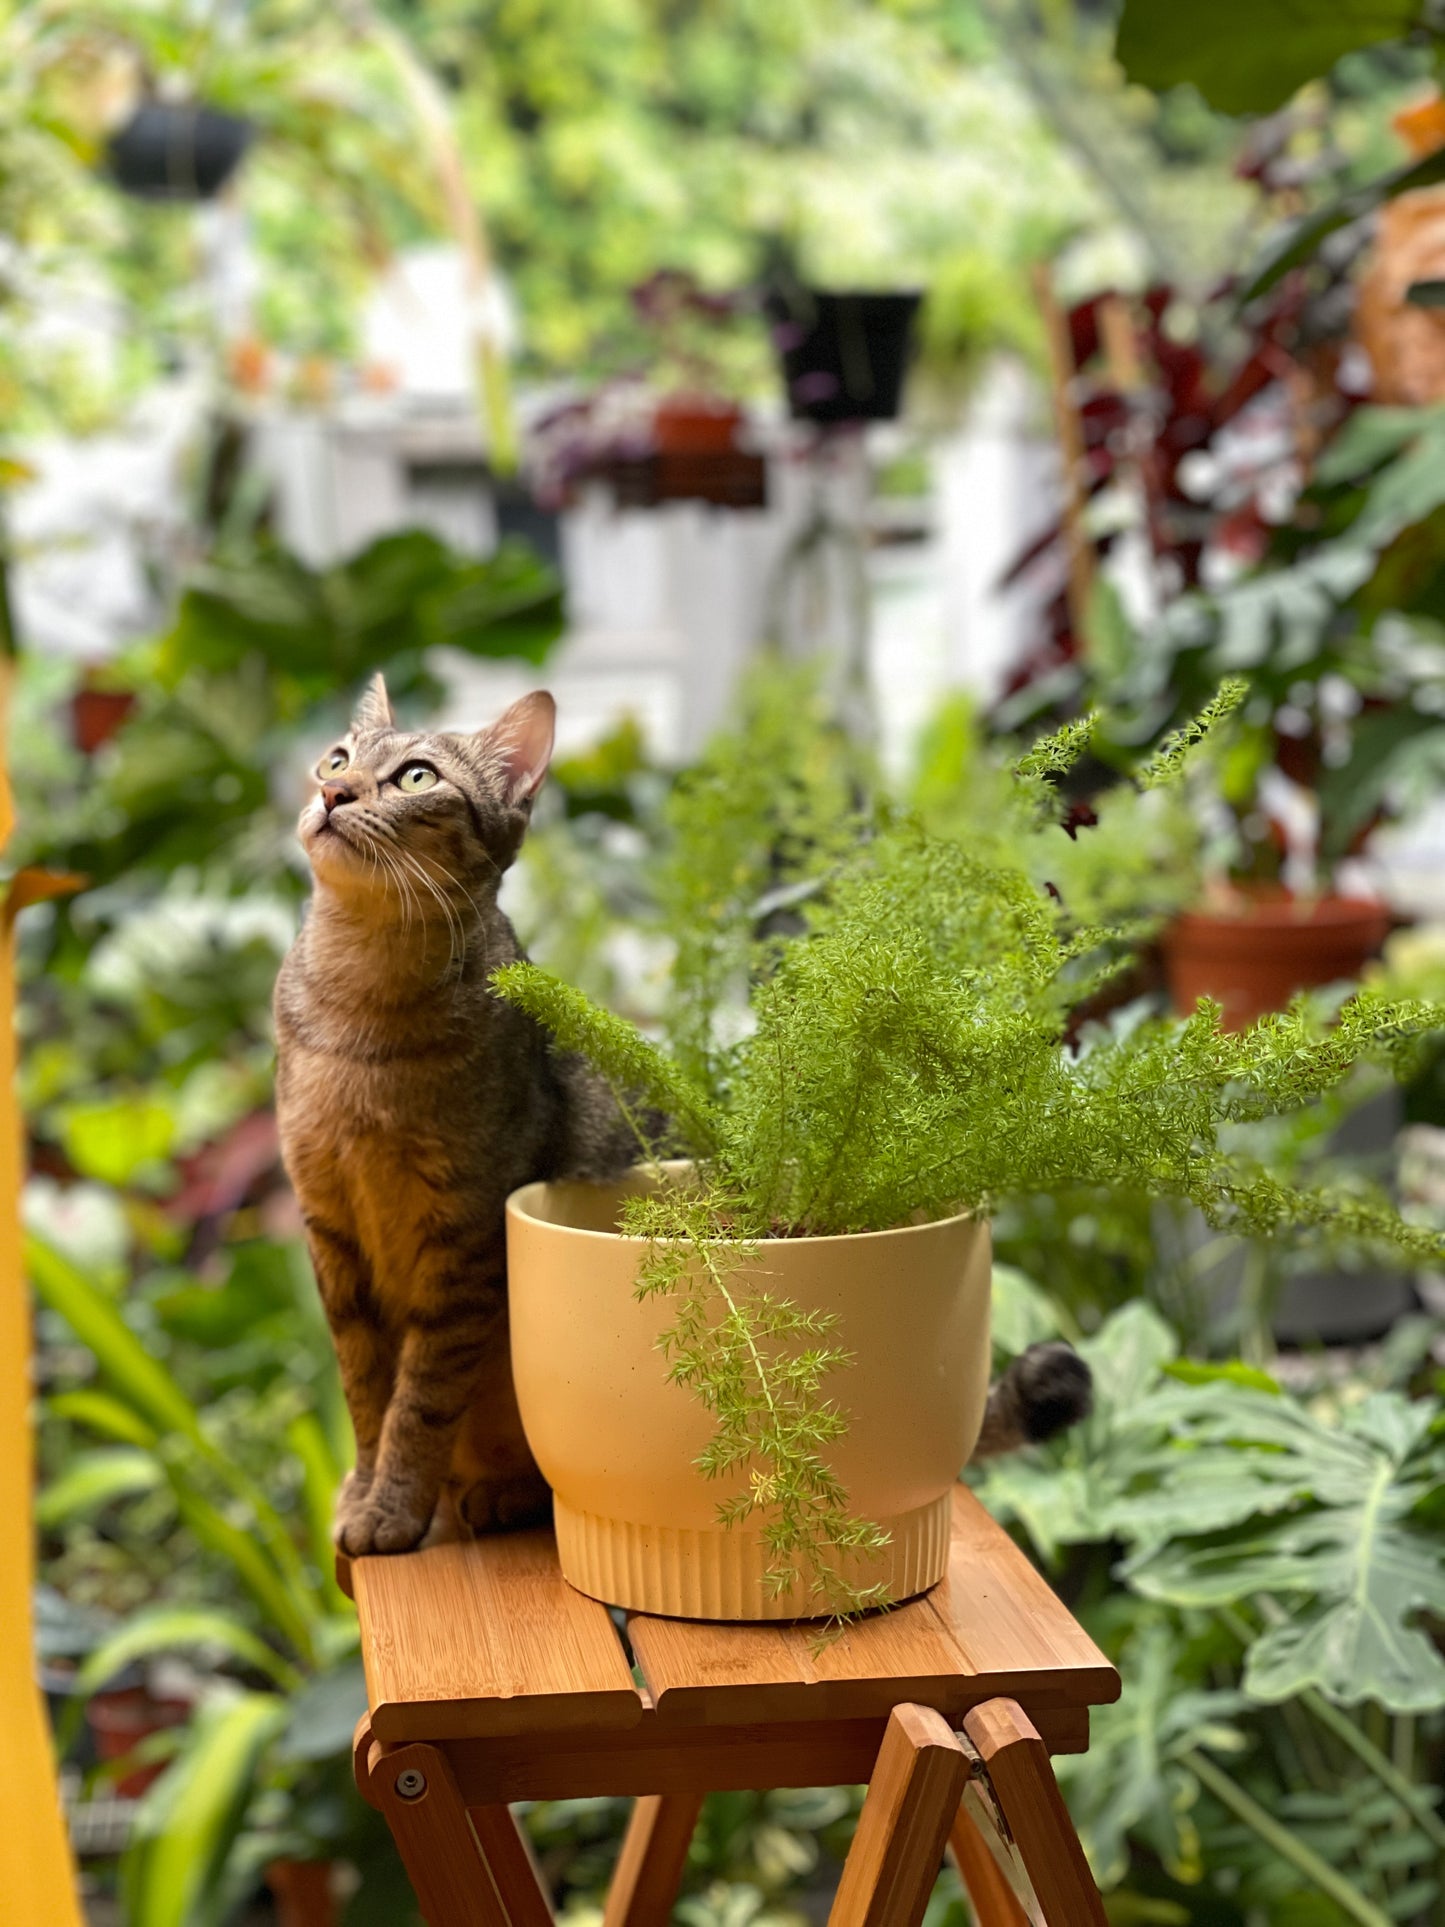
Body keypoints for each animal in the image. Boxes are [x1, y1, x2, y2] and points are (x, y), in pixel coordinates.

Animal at [271, 674, 1094, 1549]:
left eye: (416, 777)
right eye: (337, 757)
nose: (331, 792)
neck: (358, 1003)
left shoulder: (460, 1237)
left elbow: (418, 1398)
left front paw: (391, 1509)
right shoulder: (329, 1225)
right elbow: (365, 1393)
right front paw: (362, 1492)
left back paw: (498, 1494)